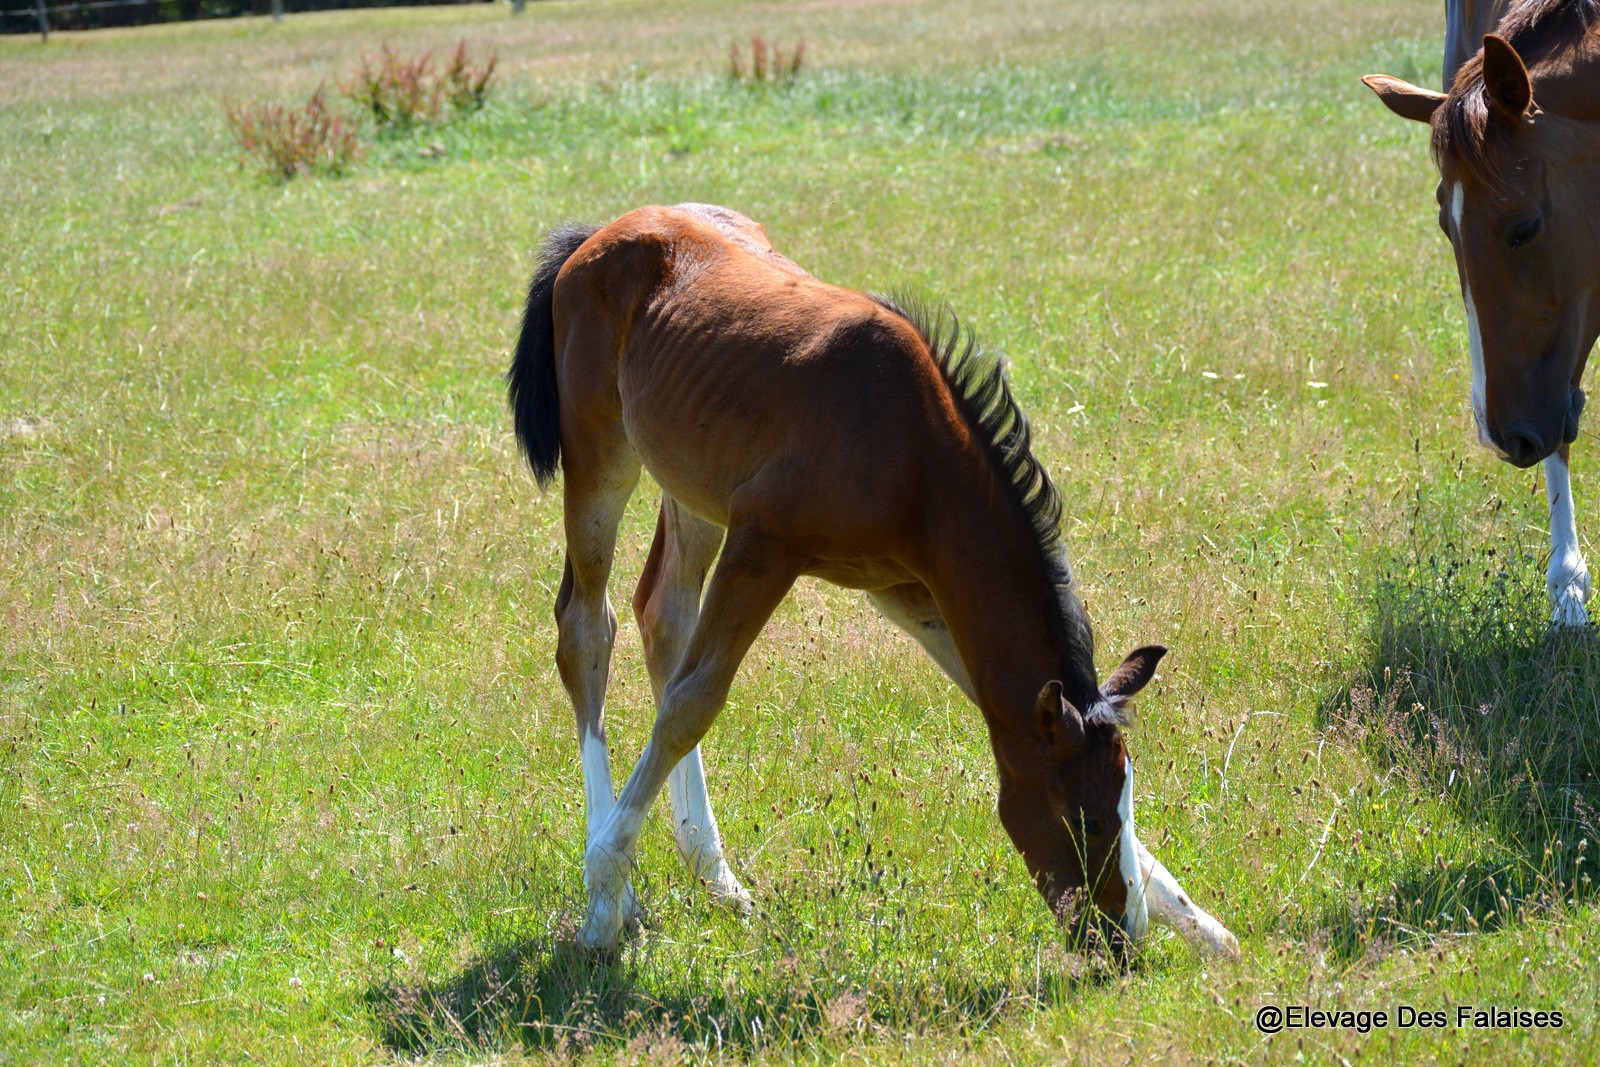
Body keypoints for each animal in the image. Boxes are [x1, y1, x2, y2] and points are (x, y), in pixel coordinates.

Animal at [508, 204, 1235, 953]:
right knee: (587, 629)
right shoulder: (764, 544)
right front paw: (602, 894)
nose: (1120, 940)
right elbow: (692, 703)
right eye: (1082, 819)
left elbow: (990, 698)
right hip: (600, 454)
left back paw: (716, 874)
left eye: (1121, 808)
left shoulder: (912, 590)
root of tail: (600, 232)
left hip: (691, 489)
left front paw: (1201, 924)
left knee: (663, 616)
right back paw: (616, 891)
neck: (912, 451)